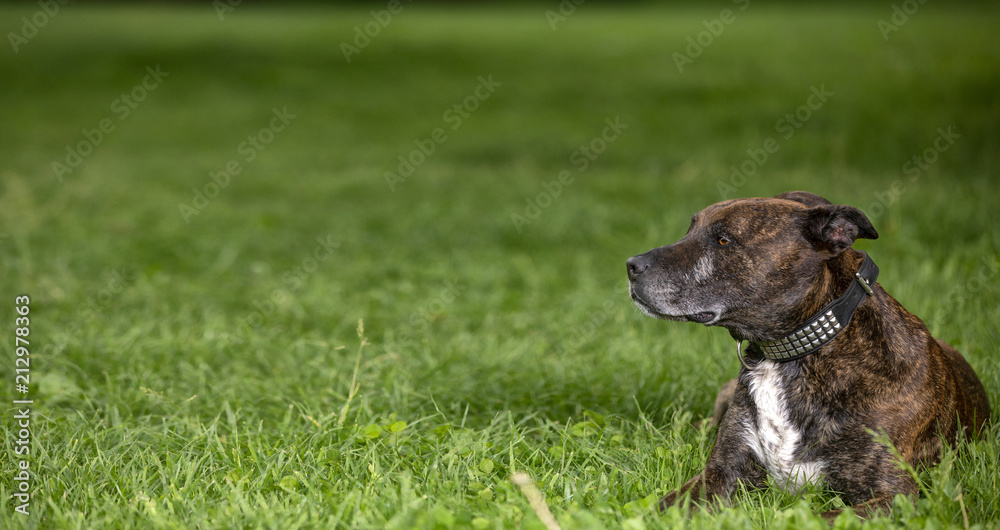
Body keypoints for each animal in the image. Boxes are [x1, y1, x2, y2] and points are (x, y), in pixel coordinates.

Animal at [628, 191, 988, 520]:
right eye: (690, 230)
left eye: (723, 240)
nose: (631, 265)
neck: (792, 354)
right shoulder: (720, 472)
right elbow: (663, 508)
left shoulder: (895, 497)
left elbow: (821, 518)